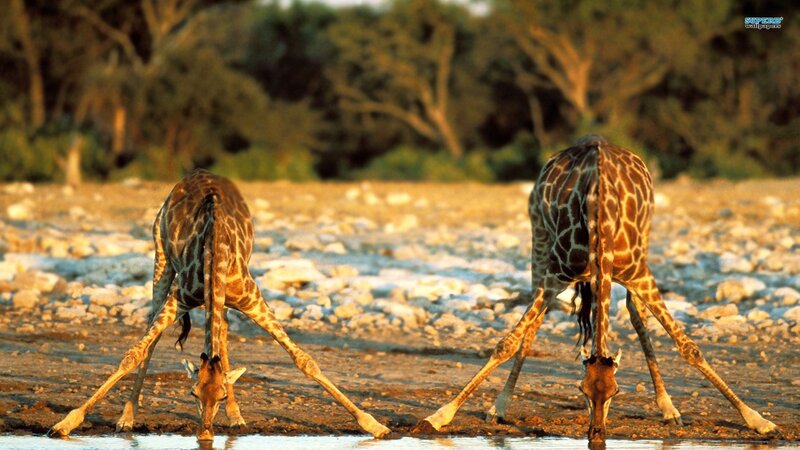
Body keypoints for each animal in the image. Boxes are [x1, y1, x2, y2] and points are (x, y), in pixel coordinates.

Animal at [48, 169, 391, 441]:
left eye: (221, 394)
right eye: (192, 393)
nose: (205, 434)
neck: (215, 251)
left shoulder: (252, 299)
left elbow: (304, 361)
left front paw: (374, 425)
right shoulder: (180, 298)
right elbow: (133, 354)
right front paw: (65, 424)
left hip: (219, 296)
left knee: (222, 336)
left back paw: (237, 417)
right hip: (161, 258)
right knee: (154, 332)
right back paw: (127, 418)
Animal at [415, 135, 778, 442]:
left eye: (616, 392)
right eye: (582, 390)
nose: (597, 435)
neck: (600, 218)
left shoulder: (639, 274)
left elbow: (689, 348)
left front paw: (758, 419)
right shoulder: (555, 275)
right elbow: (508, 342)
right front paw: (440, 415)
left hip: (643, 246)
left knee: (635, 314)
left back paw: (668, 408)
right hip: (539, 240)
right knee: (534, 322)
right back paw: (499, 406)